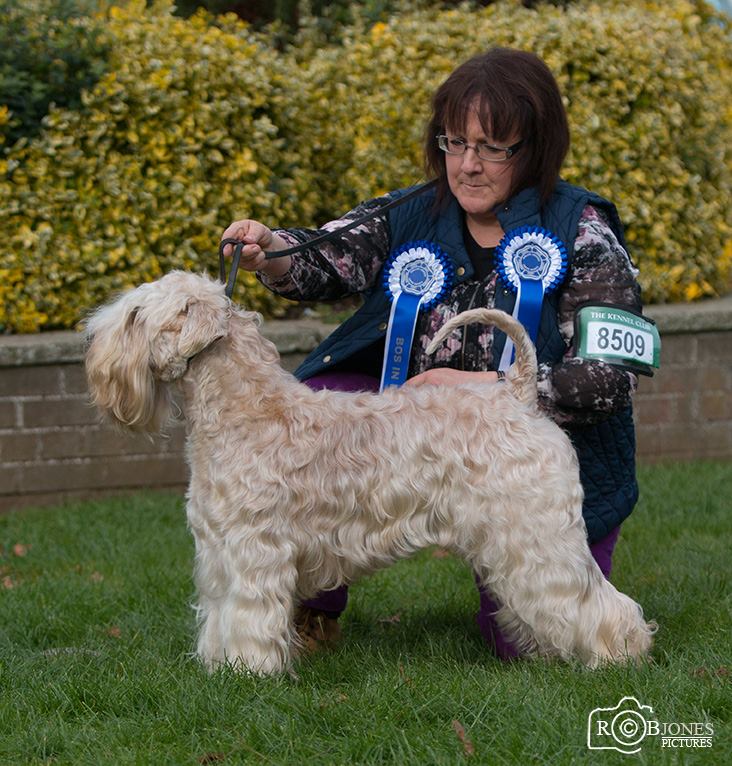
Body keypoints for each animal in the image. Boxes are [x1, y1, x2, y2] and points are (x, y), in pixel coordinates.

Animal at [84, 272, 652, 676]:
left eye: (134, 315)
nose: (91, 347)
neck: (244, 410)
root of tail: (518, 393)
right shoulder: (218, 551)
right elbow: (220, 614)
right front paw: (218, 668)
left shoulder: (254, 551)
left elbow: (248, 616)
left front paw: (250, 672)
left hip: (537, 536)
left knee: (587, 595)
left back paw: (619, 654)